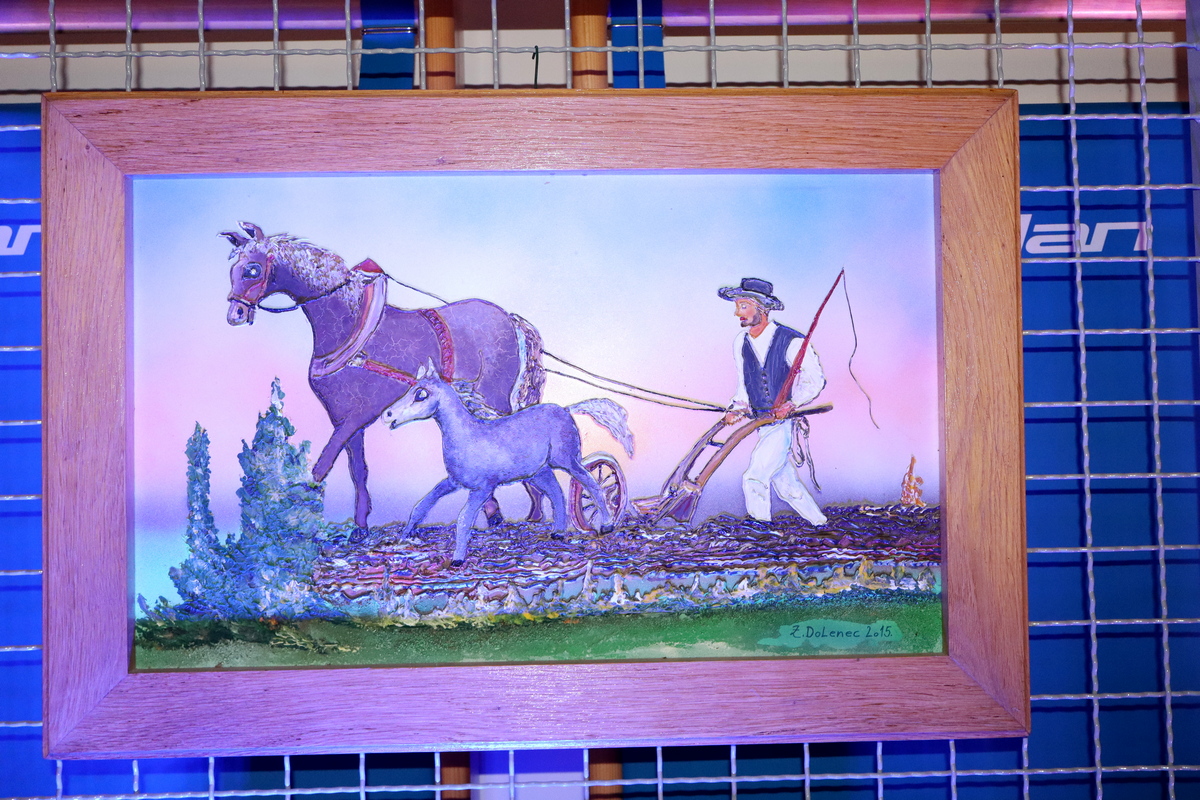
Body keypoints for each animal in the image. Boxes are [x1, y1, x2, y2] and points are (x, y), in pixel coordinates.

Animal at [222, 221, 545, 533]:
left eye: (252, 269)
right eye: (233, 269)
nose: (235, 314)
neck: (350, 326)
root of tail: (509, 319)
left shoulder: (361, 413)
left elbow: (323, 463)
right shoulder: (343, 416)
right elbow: (357, 470)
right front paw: (360, 527)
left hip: (494, 396)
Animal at [382, 365, 635, 565]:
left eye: (421, 394)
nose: (387, 415)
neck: (468, 437)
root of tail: (565, 410)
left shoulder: (483, 488)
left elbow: (463, 518)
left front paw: (457, 560)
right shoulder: (453, 482)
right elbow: (422, 505)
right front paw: (404, 536)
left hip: (567, 460)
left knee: (591, 483)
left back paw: (606, 525)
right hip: (538, 472)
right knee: (556, 492)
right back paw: (558, 533)